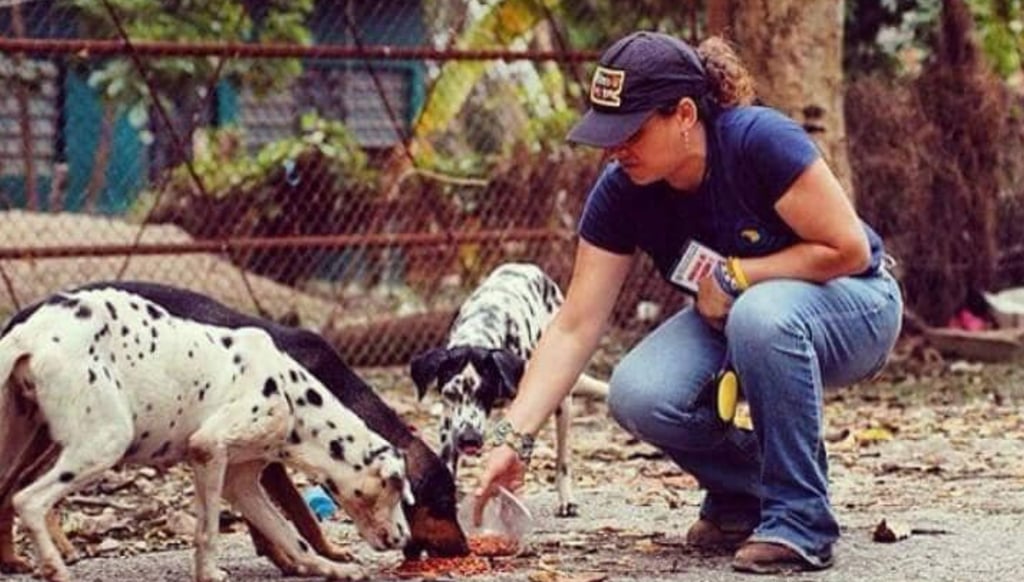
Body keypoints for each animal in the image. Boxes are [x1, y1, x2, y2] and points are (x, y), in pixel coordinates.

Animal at [0, 281, 469, 574]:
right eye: (444, 502)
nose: (465, 548)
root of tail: (26, 329)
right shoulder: (220, 452)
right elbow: (273, 520)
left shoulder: (245, 474)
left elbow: (281, 525)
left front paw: (310, 561)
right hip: (98, 440)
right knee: (28, 497)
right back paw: (51, 559)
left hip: (29, 439)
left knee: (8, 492)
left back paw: (18, 558)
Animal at [410, 262, 608, 517]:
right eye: (450, 395)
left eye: (485, 393)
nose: (469, 439)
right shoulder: (448, 423)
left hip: (562, 401)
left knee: (562, 458)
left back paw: (566, 499)